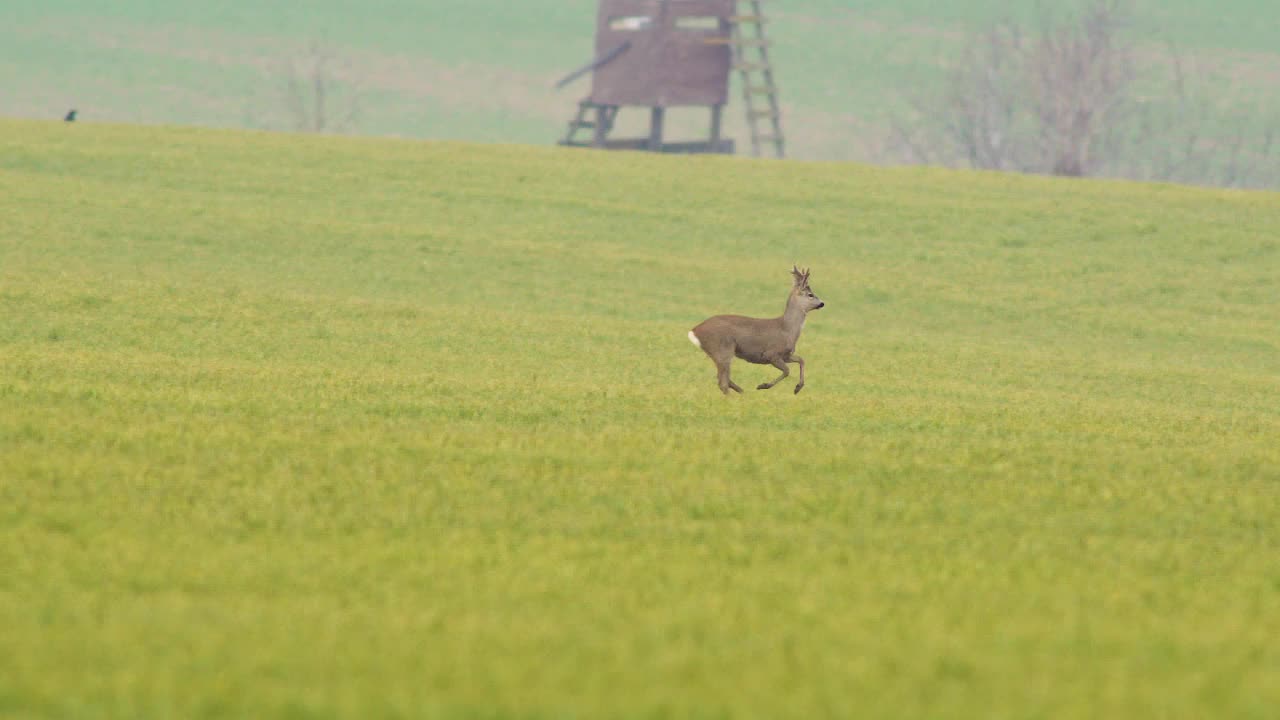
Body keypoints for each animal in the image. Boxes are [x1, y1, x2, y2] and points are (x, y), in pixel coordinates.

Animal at [686, 266, 824, 394]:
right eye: (810, 295)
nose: (822, 303)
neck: (787, 329)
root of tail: (694, 331)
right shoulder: (772, 353)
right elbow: (787, 371)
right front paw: (763, 385)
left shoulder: (786, 355)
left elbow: (801, 360)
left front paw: (798, 388)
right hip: (722, 349)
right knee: (723, 382)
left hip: (718, 352)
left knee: (724, 379)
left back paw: (742, 392)